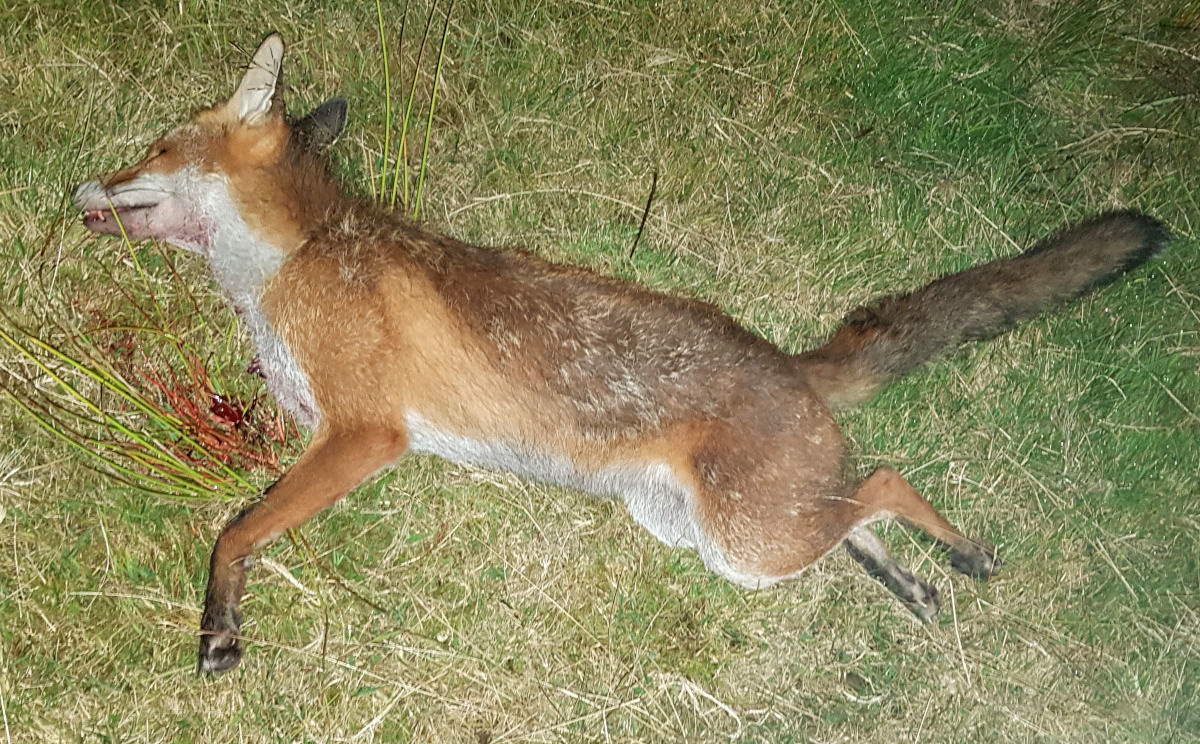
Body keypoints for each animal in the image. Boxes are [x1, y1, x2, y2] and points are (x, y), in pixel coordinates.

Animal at [72, 34, 1169, 675]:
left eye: (157, 151)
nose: (83, 183)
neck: (297, 257)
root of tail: (790, 361)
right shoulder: (314, 428)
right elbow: (245, 500)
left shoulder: (365, 434)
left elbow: (237, 531)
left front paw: (219, 626)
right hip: (719, 534)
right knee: (857, 511)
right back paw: (916, 579)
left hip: (743, 537)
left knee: (888, 480)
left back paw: (958, 553)